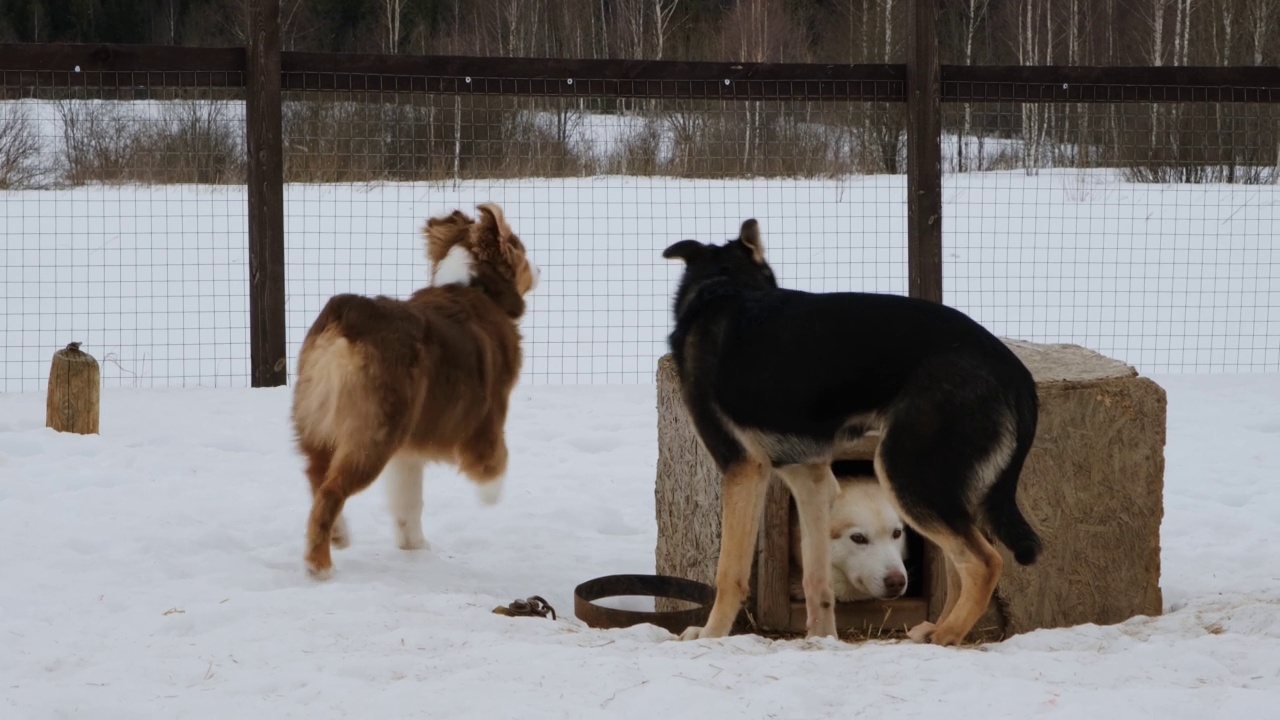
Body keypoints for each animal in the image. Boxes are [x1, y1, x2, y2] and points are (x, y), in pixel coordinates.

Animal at [293, 202, 537, 576]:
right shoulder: (487, 420)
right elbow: (494, 462)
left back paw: (338, 535)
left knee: (315, 475)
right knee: (331, 490)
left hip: (320, 419)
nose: (539, 269)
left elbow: (409, 500)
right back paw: (319, 565)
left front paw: (415, 547)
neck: (473, 286)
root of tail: (351, 314)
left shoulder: (408, 448)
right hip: (374, 433)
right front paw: (489, 493)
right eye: (520, 248)